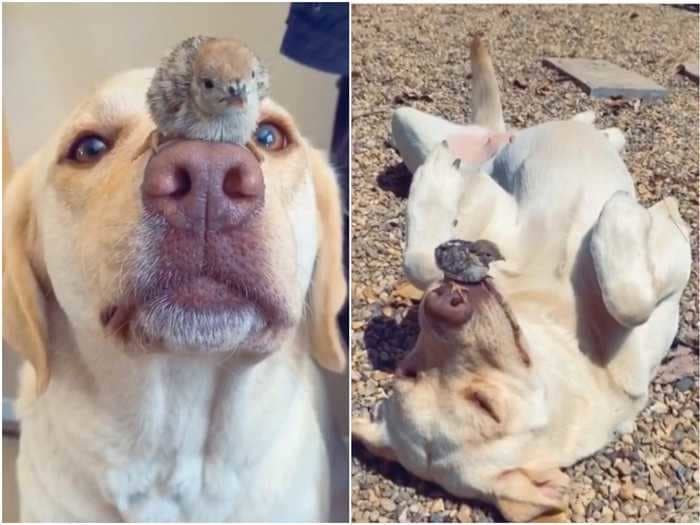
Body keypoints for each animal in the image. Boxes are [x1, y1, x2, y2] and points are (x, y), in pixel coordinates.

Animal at [352, 36, 692, 520]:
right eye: (409, 371)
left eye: (486, 406)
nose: (442, 306)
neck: (556, 318)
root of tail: (500, 134)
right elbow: (628, 293)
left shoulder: (496, 215)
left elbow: (424, 258)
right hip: (410, 125)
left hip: (415, 121)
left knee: (589, 129)